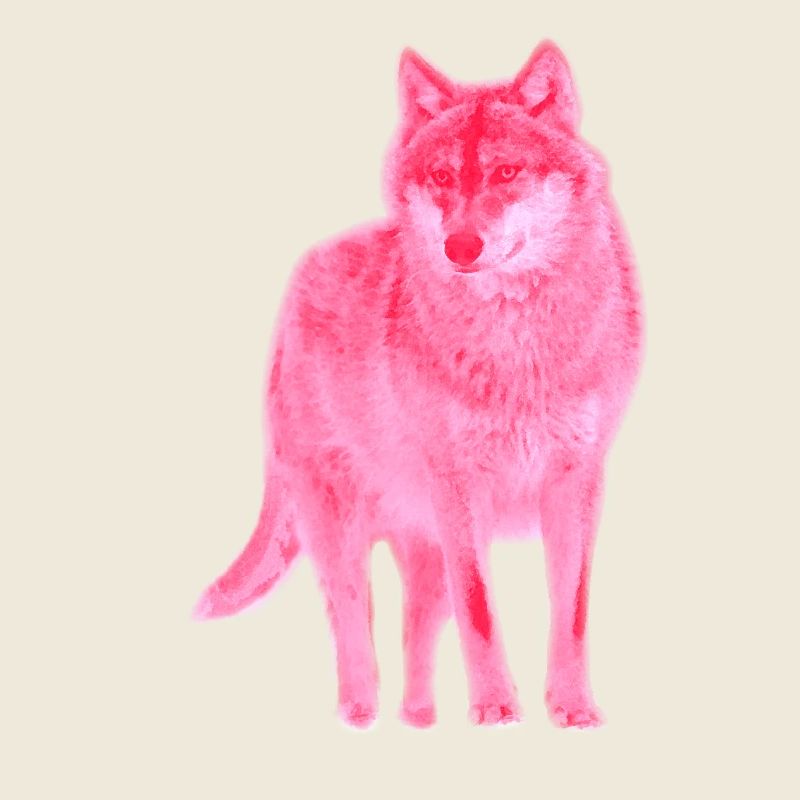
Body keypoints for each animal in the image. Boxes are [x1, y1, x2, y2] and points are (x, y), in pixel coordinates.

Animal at [195, 41, 644, 730]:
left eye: (506, 173)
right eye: (441, 177)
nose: (460, 246)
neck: (516, 351)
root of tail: (294, 290)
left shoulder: (576, 480)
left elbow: (570, 613)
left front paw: (572, 710)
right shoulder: (459, 487)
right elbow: (480, 613)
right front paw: (496, 711)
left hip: (423, 548)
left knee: (415, 634)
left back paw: (420, 719)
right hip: (344, 533)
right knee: (352, 623)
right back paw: (358, 714)